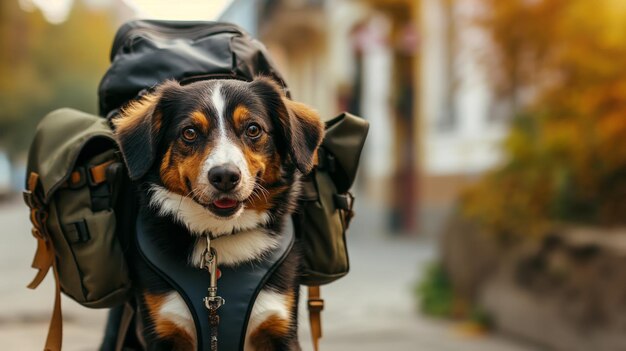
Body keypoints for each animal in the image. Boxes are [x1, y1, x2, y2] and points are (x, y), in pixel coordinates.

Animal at [112, 77, 324, 351]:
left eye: (253, 129)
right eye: (189, 132)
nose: (225, 176)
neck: (218, 236)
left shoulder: (279, 326)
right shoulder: (163, 331)